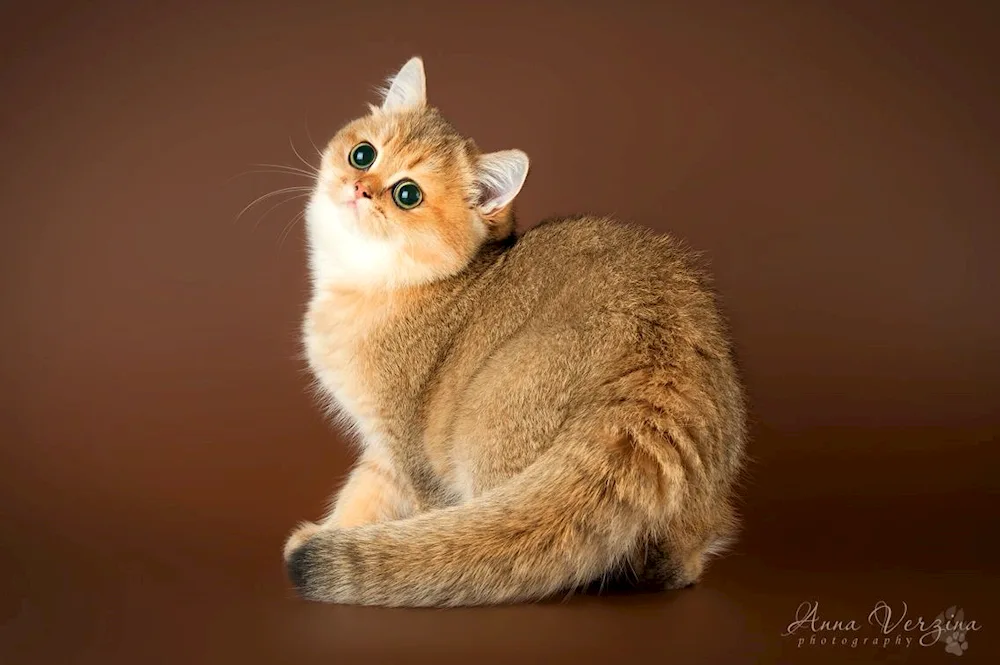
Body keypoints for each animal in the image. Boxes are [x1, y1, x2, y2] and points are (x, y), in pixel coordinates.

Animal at [282, 57, 752, 608]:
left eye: (407, 194)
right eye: (363, 154)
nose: (359, 189)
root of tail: (659, 375)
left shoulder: (404, 448)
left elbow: (372, 497)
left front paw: (327, 537)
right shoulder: (384, 450)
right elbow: (360, 490)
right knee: (677, 565)